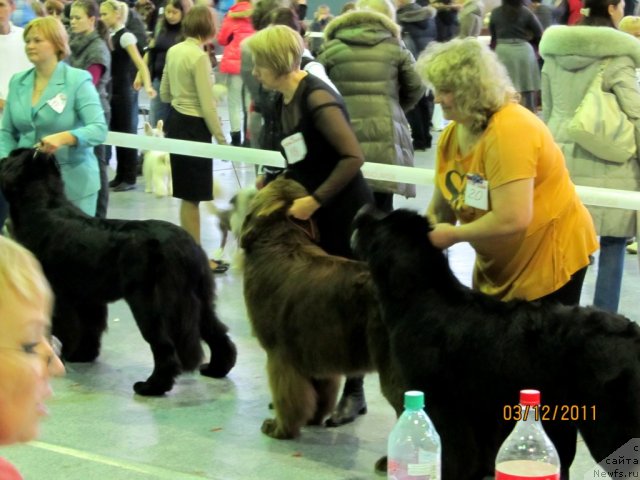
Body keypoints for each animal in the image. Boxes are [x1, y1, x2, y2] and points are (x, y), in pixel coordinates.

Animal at [0, 148, 238, 396]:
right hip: (201, 298)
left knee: (164, 346)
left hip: (150, 304)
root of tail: (185, 245)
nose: (3, 157)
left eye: (12, 156)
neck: (43, 205)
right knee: (217, 332)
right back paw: (215, 369)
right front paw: (82, 355)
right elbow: (90, 328)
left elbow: (63, 328)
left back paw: (151, 386)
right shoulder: (88, 298)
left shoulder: (60, 296)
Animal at [240, 177, 398, 438]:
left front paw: (279, 427)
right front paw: (313, 418)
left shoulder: (279, 353)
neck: (279, 242)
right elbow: (319, 392)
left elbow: (287, 394)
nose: (277, 174)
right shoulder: (316, 349)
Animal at [352, 208, 636, 480]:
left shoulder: (441, 402)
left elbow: (451, 451)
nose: (361, 214)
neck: (421, 295)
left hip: (609, 427)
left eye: (379, 223)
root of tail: (633, 333)